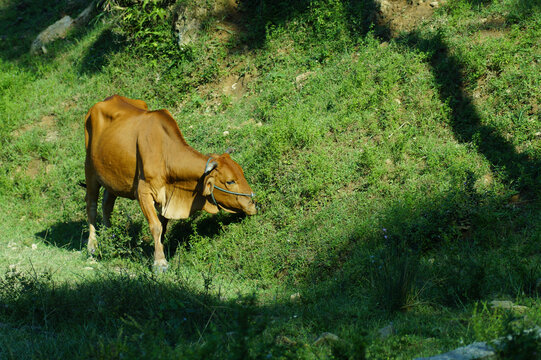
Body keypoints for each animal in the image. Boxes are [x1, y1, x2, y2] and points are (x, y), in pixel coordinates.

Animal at [83, 95, 256, 270]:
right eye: (230, 181)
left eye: (242, 173)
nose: (252, 204)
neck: (164, 154)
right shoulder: (143, 193)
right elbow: (156, 226)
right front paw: (160, 262)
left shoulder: (166, 197)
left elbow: (163, 226)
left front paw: (158, 252)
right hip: (90, 171)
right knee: (92, 206)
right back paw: (93, 246)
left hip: (112, 178)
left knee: (107, 205)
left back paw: (108, 240)